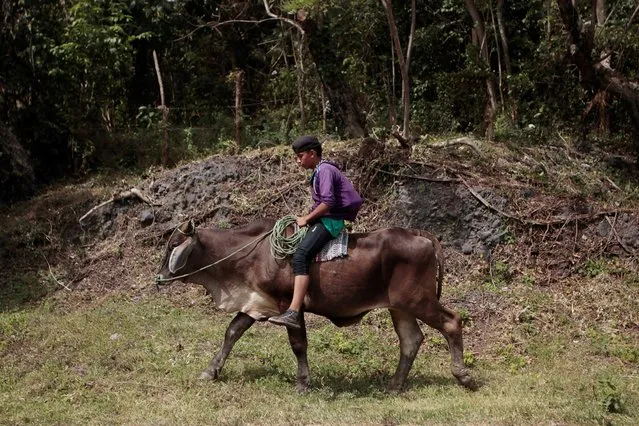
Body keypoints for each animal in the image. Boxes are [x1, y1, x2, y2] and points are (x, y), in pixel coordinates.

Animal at [155, 220, 476, 392]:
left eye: (172, 244)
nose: (158, 278)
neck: (253, 255)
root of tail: (419, 234)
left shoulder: (288, 305)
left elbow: (298, 344)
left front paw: (303, 382)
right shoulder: (256, 304)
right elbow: (231, 333)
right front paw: (210, 371)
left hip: (419, 300)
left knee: (451, 322)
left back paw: (463, 376)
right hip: (400, 307)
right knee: (411, 340)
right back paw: (395, 384)